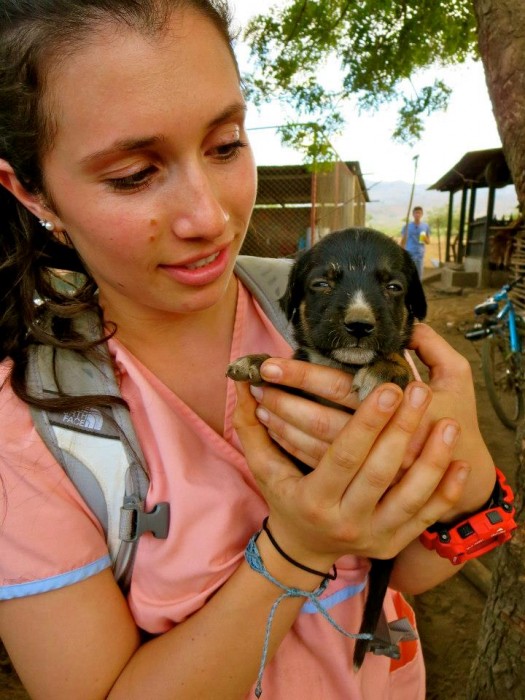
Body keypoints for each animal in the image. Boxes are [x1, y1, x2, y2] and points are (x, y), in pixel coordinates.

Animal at [227, 227, 428, 668]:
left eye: (393, 287)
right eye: (321, 284)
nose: (359, 325)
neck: (344, 366)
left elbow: (396, 358)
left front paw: (387, 368)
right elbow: (286, 370)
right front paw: (256, 362)